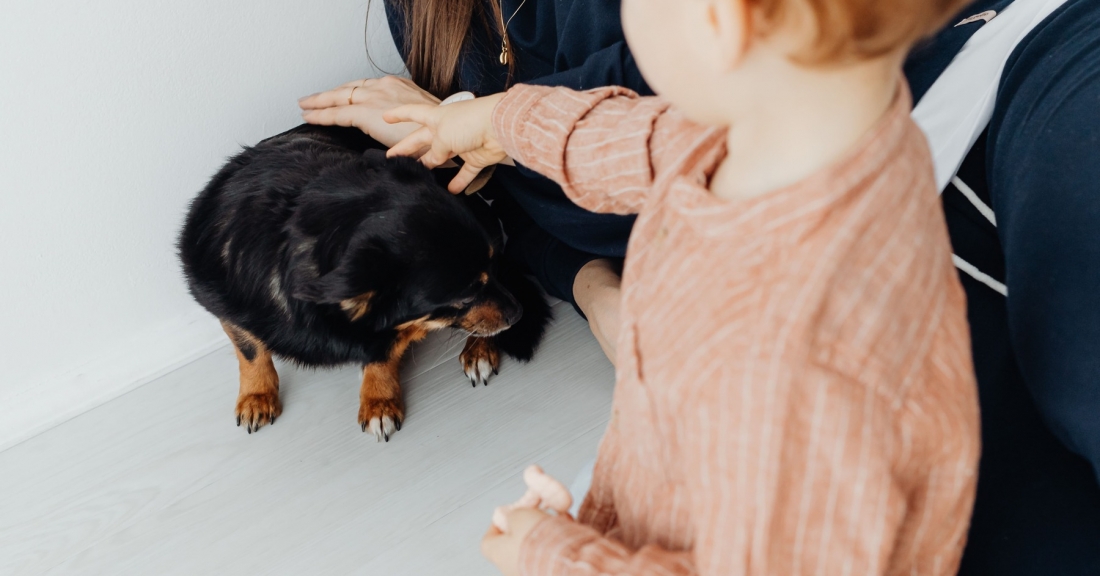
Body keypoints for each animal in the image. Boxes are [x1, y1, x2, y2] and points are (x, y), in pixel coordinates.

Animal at [179, 124, 550, 441]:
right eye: (463, 297)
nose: (517, 313)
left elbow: (381, 353)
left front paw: (379, 402)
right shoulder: (225, 304)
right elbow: (251, 350)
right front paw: (257, 395)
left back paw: (479, 350)